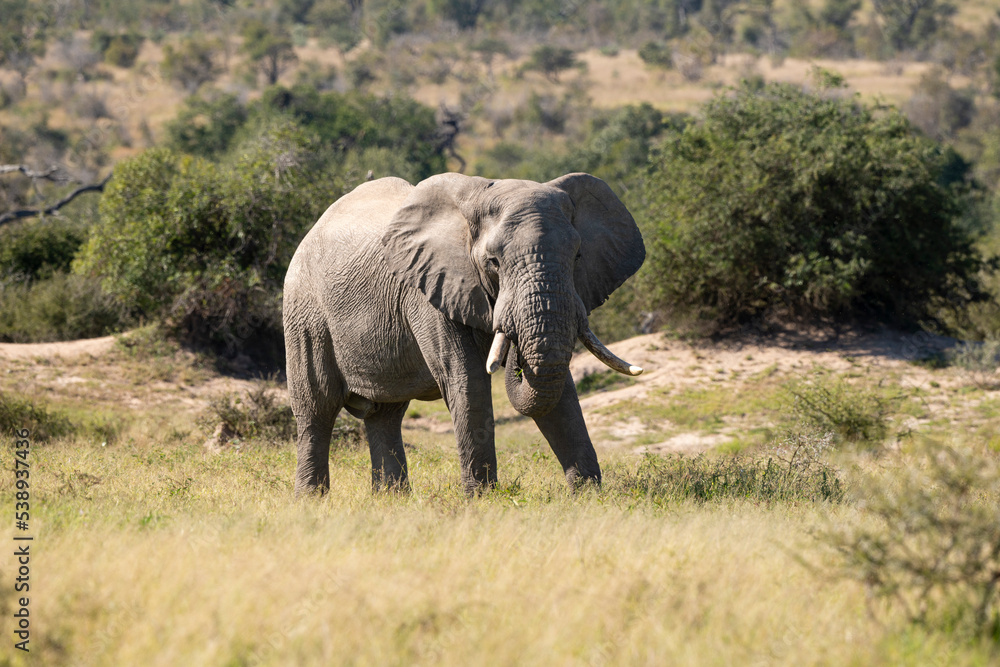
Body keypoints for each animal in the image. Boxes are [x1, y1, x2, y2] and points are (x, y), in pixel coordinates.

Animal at [282, 172, 645, 496]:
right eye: (493, 262)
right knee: (317, 409)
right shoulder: (428, 288)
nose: (514, 358)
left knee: (385, 415)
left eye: (578, 256)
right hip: (305, 314)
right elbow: (467, 380)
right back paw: (312, 501)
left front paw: (588, 497)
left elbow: (561, 392)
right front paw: (483, 501)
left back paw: (391, 501)